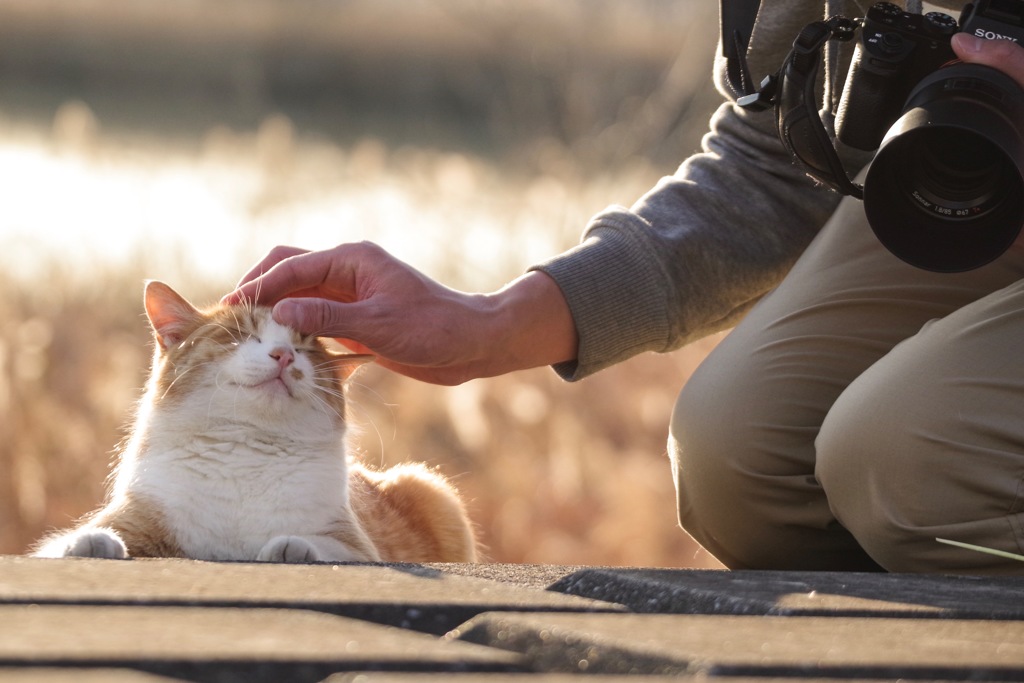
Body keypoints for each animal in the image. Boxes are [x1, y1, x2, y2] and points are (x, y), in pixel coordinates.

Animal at [32, 280, 477, 565]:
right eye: (241, 334)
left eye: (305, 348)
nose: (284, 354)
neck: (245, 450)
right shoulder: (136, 518)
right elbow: (75, 541)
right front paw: (90, 542)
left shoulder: (355, 545)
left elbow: (326, 547)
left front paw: (292, 547)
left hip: (428, 485)